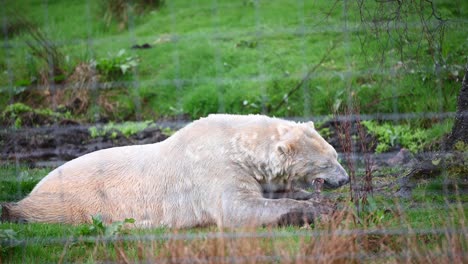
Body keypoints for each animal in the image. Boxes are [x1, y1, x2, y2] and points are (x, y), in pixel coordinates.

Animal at [1, 114, 350, 228]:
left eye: (336, 155)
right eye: (328, 161)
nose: (345, 178)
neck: (237, 144)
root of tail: (34, 188)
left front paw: (307, 197)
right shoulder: (214, 168)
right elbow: (237, 208)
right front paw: (314, 209)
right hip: (71, 201)